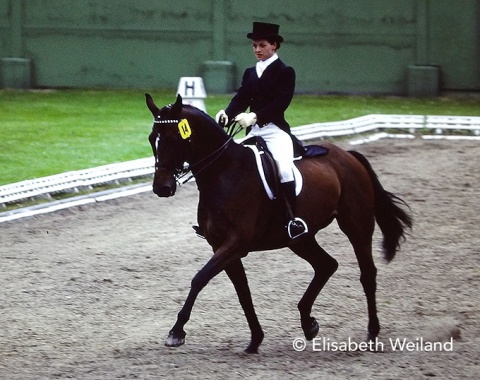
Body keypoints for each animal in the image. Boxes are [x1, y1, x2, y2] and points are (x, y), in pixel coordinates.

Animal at [146, 92, 412, 354]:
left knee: (367, 273)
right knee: (327, 265)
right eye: (151, 139)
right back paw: (308, 323)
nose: (162, 188)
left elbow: (199, 278)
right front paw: (255, 339)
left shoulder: (235, 243)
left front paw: (176, 332)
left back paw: (372, 333)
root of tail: (348, 155)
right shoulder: (221, 246)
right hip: (300, 240)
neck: (224, 173)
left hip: (356, 225)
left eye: (173, 138)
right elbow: (243, 292)